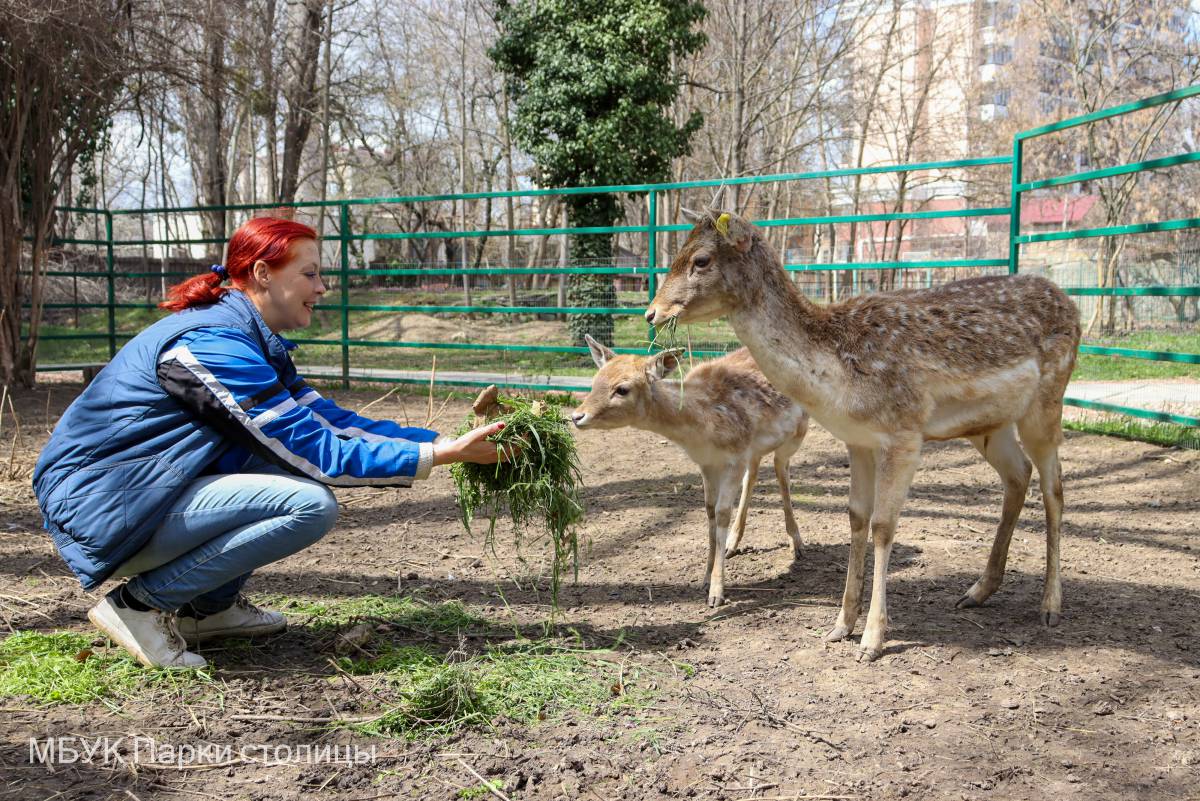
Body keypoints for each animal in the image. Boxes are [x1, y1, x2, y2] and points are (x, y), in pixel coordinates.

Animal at [568, 335, 806, 606]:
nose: (577, 416)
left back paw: (797, 544)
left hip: (798, 431)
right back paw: (733, 543)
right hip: (756, 448)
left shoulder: (735, 457)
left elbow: (722, 512)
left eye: (622, 389)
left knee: (781, 469)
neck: (702, 429)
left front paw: (716, 593)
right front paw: (704, 579)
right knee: (754, 474)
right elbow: (710, 510)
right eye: (595, 381)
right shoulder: (707, 463)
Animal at [652, 209, 1084, 661]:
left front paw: (872, 640)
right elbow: (856, 517)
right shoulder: (857, 440)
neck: (837, 375)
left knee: (1054, 489)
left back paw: (1050, 606)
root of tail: (1072, 305)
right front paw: (840, 625)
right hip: (990, 425)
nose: (652, 312)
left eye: (700, 260)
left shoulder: (904, 432)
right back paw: (978, 591)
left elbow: (883, 524)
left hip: (1047, 403)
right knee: (1018, 475)